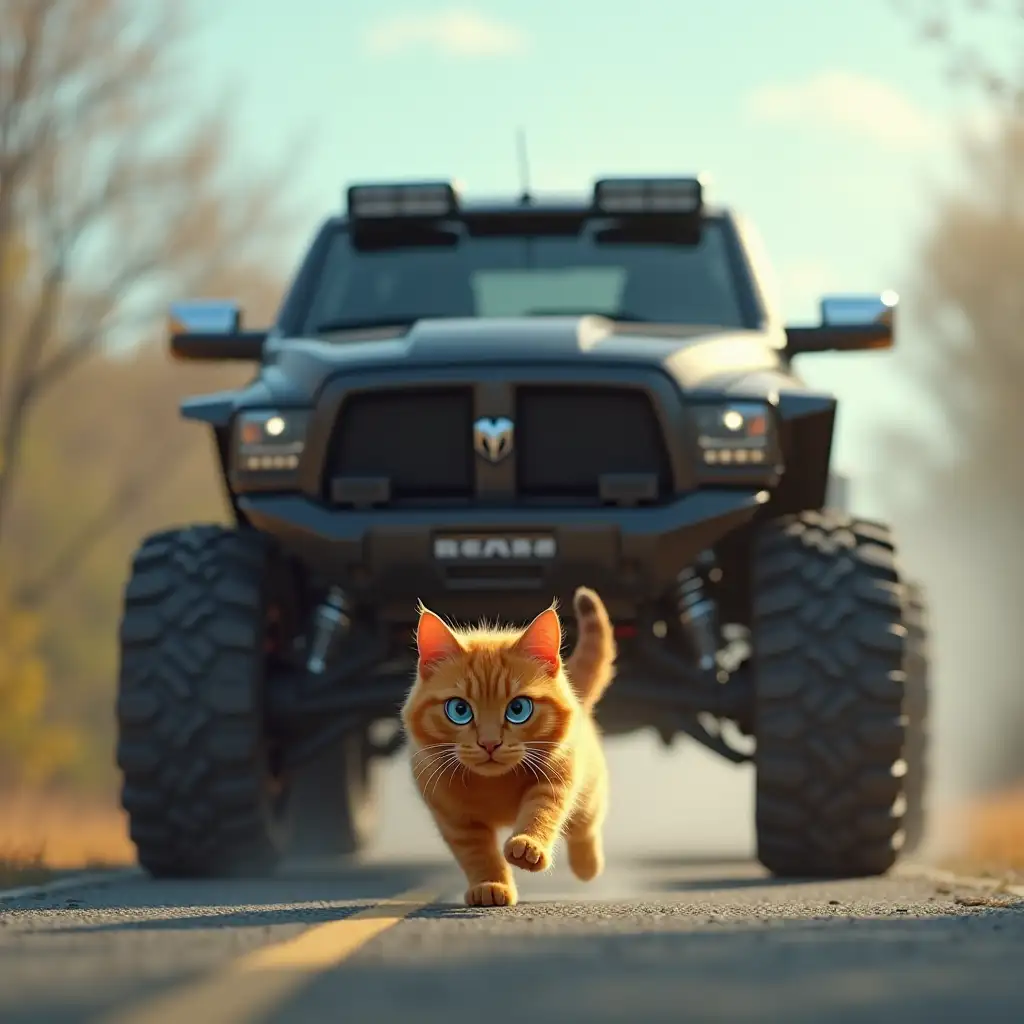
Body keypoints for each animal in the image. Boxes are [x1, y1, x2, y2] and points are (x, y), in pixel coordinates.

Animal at [399, 589, 614, 909]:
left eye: (518, 709)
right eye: (459, 710)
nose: (490, 742)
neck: (494, 785)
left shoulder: (557, 776)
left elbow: (542, 810)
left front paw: (528, 846)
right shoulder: (453, 817)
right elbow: (477, 854)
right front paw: (490, 885)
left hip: (589, 787)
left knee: (585, 825)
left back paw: (587, 865)